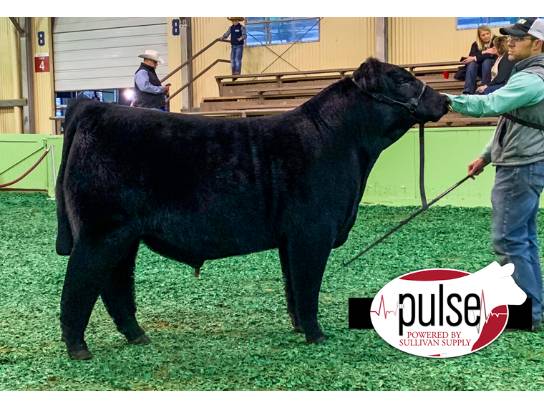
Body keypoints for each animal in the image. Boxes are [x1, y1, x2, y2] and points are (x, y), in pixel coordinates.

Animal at [56, 58, 450, 360]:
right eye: (402, 79)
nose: (445, 100)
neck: (342, 143)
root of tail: (94, 107)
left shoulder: (290, 239)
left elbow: (293, 287)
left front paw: (298, 328)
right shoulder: (313, 231)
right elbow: (308, 286)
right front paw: (316, 334)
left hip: (125, 236)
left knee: (115, 284)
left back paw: (137, 334)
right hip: (101, 231)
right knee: (80, 283)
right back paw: (78, 348)